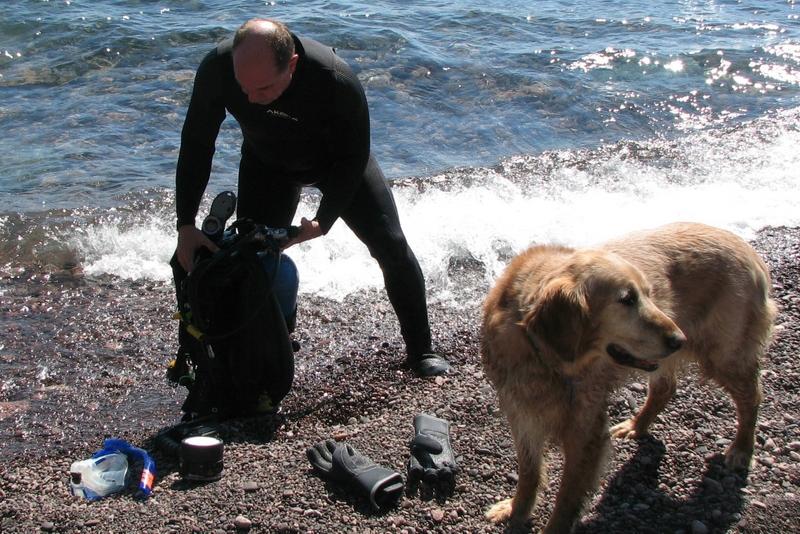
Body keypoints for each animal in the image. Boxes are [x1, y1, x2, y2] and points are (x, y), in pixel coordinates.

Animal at [482, 223, 776, 534]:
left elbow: (566, 500)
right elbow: (529, 475)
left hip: (724, 355)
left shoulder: (585, 433)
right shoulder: (523, 416)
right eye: (627, 299)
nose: (679, 339)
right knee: (665, 388)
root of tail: (745, 246)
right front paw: (515, 510)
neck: (545, 357)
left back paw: (742, 448)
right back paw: (637, 425)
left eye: (649, 293)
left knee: (751, 398)